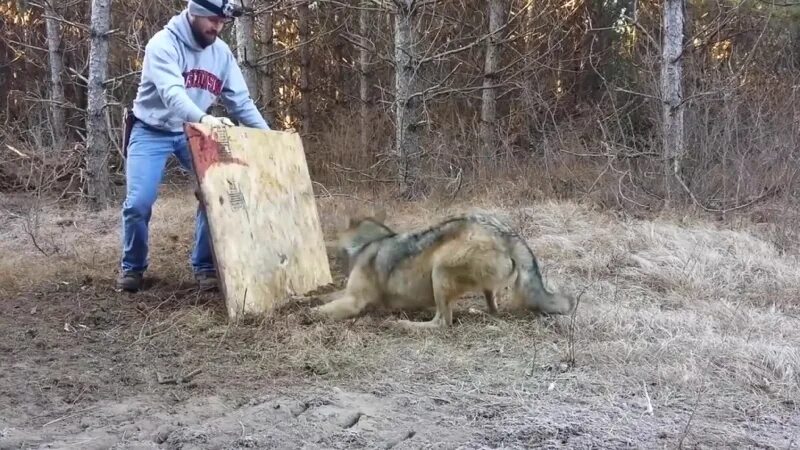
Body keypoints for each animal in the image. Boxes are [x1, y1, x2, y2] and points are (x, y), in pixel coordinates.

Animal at [306, 209, 576, 328]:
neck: (368, 243)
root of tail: (507, 233)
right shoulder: (346, 293)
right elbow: (321, 297)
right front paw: (303, 299)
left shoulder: (353, 301)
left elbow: (321, 310)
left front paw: (306, 314)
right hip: (476, 286)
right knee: (492, 308)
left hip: (439, 271)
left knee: (442, 323)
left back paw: (404, 325)